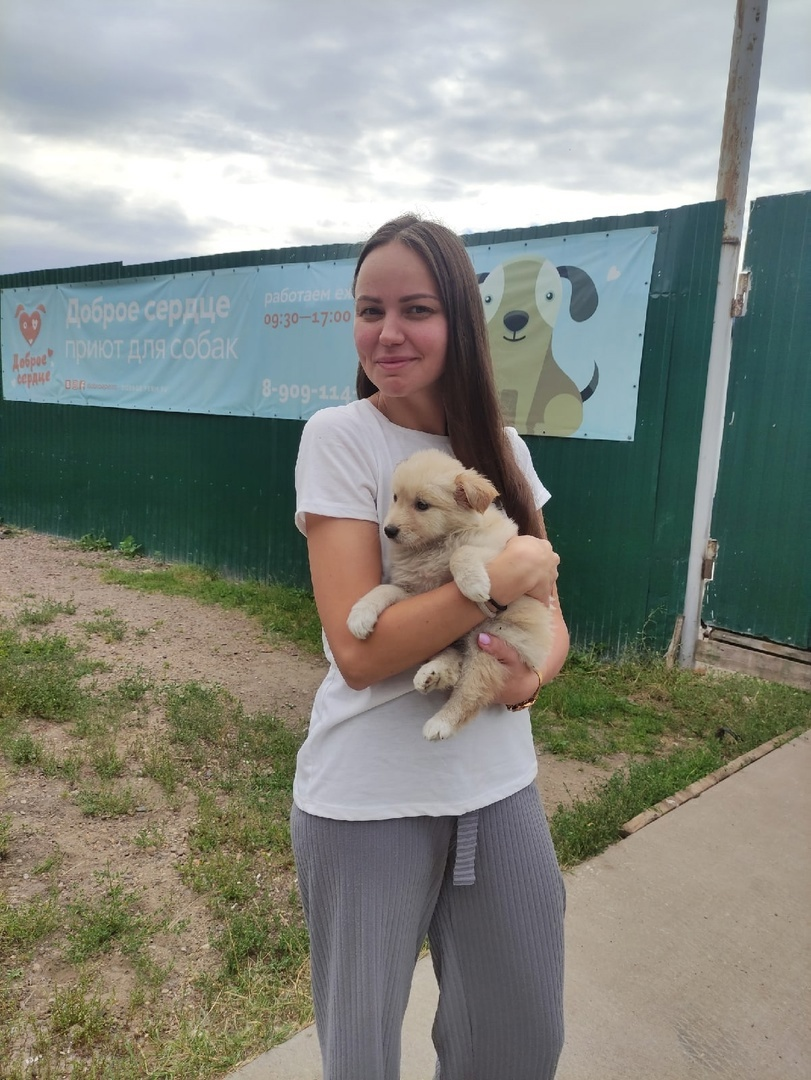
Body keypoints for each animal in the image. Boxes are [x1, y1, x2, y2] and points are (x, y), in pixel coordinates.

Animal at [347, 449, 554, 741]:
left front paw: (475, 585)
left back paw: (441, 723)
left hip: (491, 641)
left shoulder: (499, 551)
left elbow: (462, 553)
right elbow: (383, 589)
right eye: (396, 497)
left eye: (422, 505)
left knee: (472, 691)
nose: (389, 530)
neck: (433, 546)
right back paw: (430, 675)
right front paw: (360, 616)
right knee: (455, 666)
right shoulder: (413, 592)